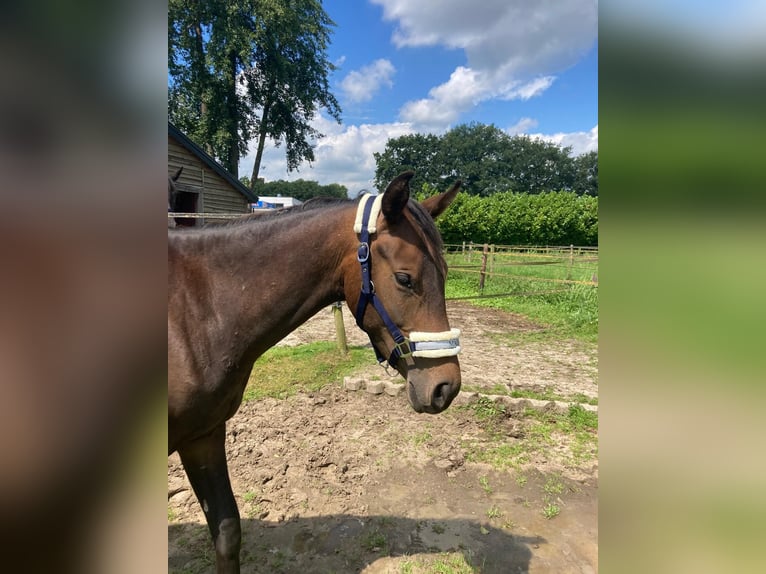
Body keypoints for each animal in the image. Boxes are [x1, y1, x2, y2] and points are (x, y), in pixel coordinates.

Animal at [170, 172, 462, 574]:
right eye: (405, 279)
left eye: (446, 275)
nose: (446, 387)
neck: (197, 309)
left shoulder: (203, 435)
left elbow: (227, 531)